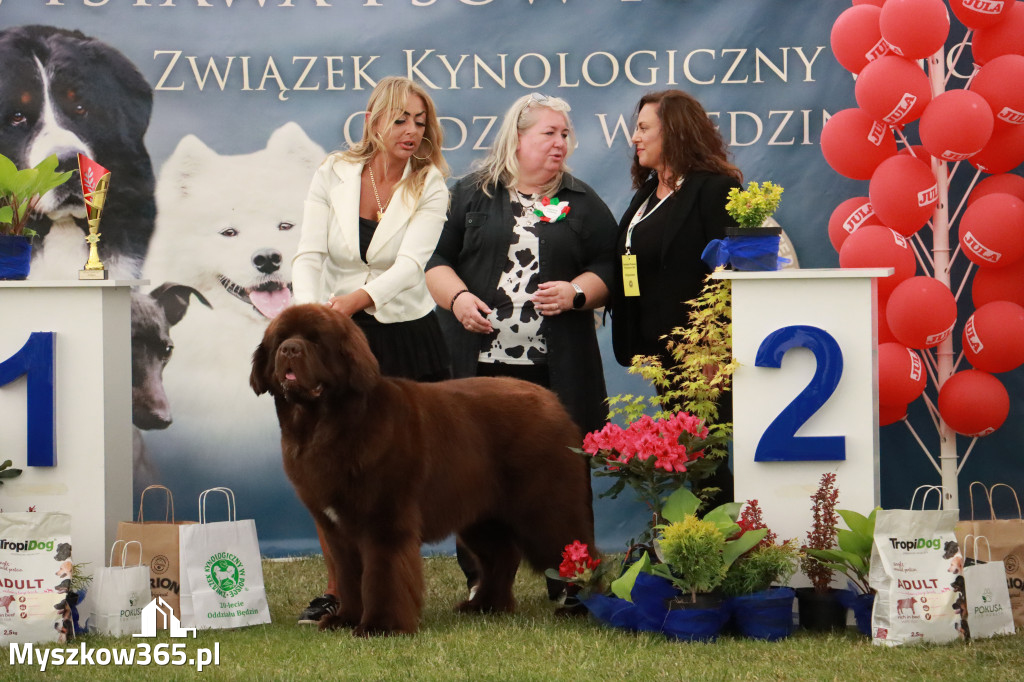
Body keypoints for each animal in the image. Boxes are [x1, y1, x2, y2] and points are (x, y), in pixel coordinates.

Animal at [250, 303, 598, 630]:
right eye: (280, 339)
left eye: (316, 341)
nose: (289, 349)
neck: (325, 425)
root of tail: (553, 401)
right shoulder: (336, 528)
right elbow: (349, 577)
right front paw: (345, 619)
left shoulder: (384, 519)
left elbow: (382, 575)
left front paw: (380, 626)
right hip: (482, 513)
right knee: (501, 556)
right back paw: (485, 605)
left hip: (543, 507)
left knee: (577, 552)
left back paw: (582, 609)